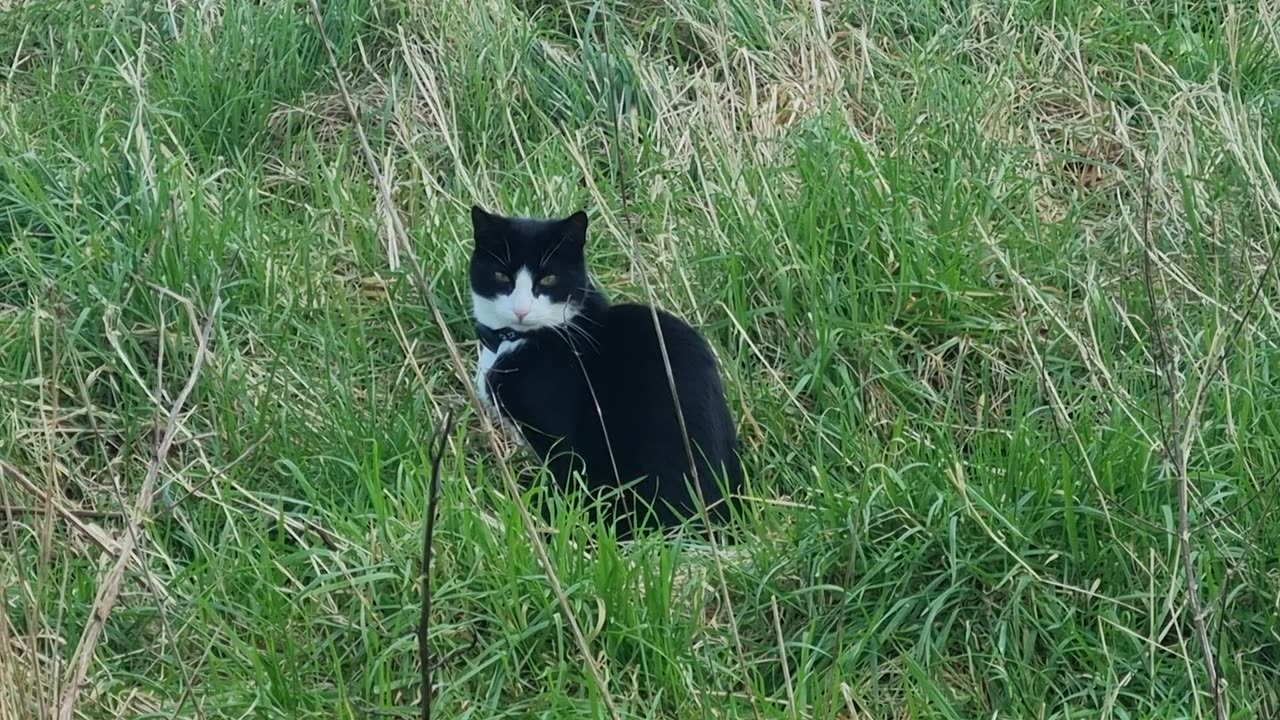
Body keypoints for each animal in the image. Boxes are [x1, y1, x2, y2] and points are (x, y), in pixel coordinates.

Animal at [471, 204, 742, 535]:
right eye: (501, 275)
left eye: (548, 279)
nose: (521, 310)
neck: (516, 340)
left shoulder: (558, 434)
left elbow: (563, 477)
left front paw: (553, 521)